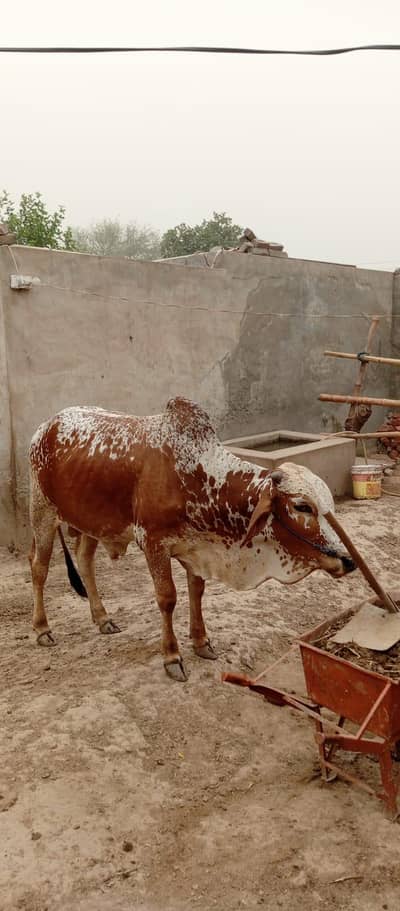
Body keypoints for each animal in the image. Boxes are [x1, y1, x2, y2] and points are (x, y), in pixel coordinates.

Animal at [29, 397, 355, 681]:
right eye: (302, 507)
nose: (348, 560)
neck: (198, 476)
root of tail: (47, 424)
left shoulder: (196, 548)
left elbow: (197, 591)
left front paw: (201, 642)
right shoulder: (153, 543)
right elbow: (168, 598)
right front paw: (172, 656)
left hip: (91, 522)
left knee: (85, 562)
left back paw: (102, 618)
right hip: (42, 512)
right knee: (39, 569)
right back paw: (42, 629)